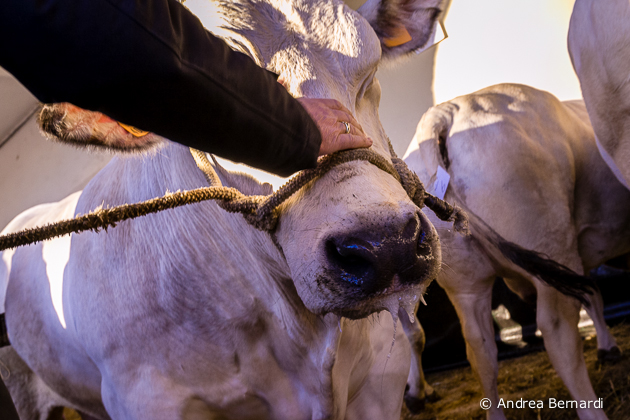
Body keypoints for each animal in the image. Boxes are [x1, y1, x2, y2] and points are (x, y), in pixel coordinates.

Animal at [404, 83, 630, 420]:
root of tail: (445, 111)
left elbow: (594, 296)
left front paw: (607, 345)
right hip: (551, 248)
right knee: (558, 334)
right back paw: (593, 412)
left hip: (467, 284)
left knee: (480, 349)